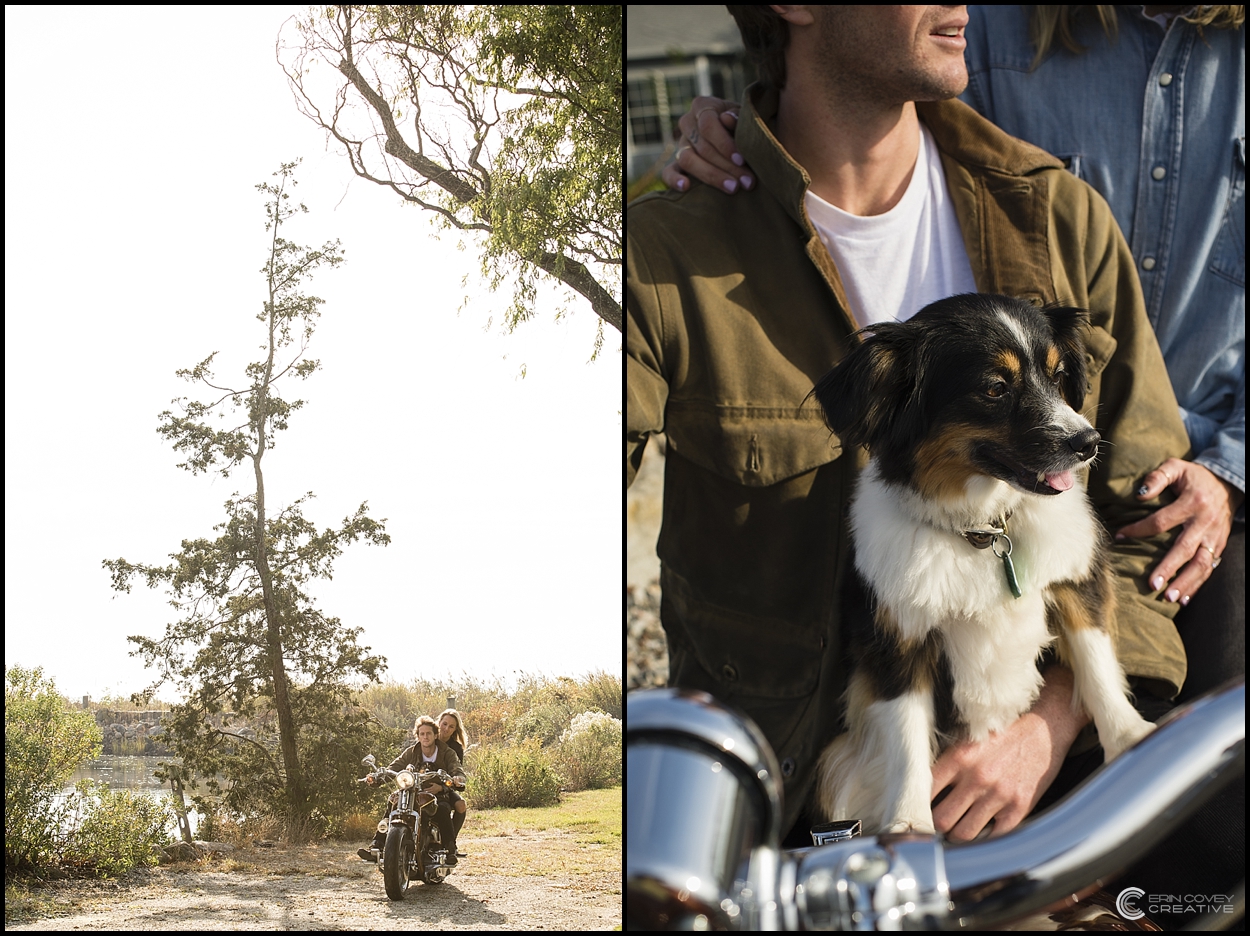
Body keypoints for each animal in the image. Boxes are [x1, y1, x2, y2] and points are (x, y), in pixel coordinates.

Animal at [810, 292, 1150, 834]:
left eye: (1058, 375)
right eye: (995, 388)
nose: (1089, 444)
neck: (983, 531)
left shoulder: (1075, 582)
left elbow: (1096, 661)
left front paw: (1131, 737)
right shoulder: (896, 640)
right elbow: (906, 737)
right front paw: (909, 823)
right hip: (835, 766)